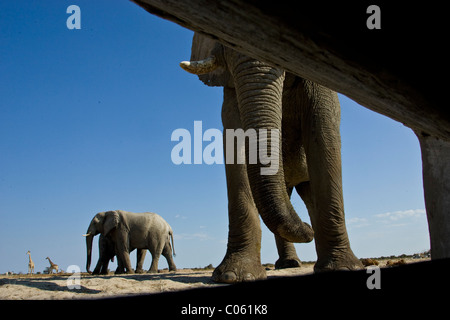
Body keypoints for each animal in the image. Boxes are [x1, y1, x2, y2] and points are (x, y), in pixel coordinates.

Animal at [179, 32, 362, 282]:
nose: (307, 229)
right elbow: (235, 142)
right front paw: (234, 276)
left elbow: (324, 134)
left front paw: (343, 269)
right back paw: (289, 264)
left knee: (309, 197)